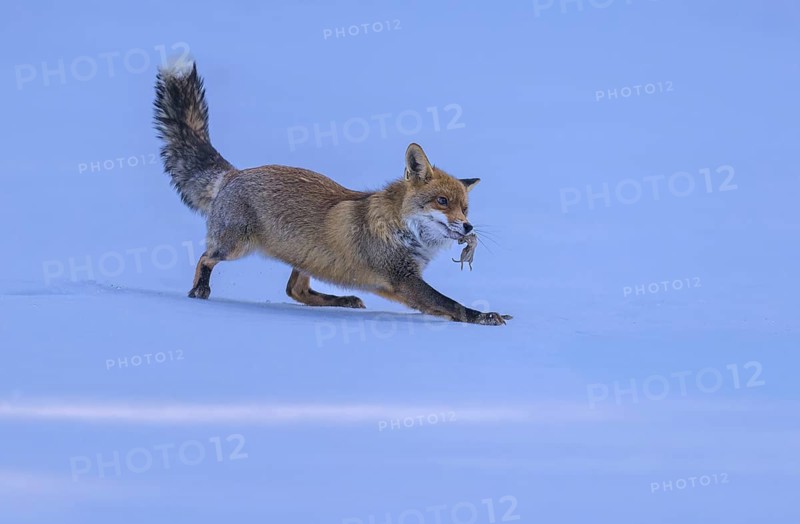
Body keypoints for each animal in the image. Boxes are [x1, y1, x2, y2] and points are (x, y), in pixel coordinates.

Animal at [153, 60, 512, 325]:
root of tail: (235, 174)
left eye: (466, 208)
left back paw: (342, 300)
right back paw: (200, 290)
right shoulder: (402, 280)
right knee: (206, 257)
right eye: (442, 201)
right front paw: (483, 316)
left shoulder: (394, 283)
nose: (468, 227)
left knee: (294, 291)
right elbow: (450, 303)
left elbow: (443, 305)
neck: (402, 230)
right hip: (235, 246)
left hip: (306, 257)